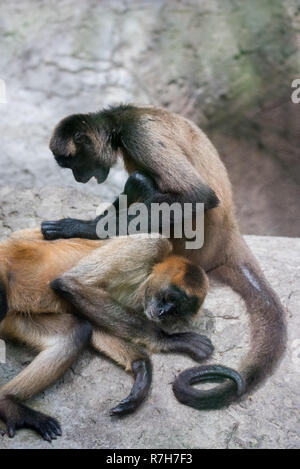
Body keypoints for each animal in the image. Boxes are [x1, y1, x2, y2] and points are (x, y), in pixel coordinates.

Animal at [0, 229, 243, 440]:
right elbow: (70, 283)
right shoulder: (151, 246)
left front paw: (141, 369)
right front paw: (169, 340)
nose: (162, 313)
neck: (141, 281)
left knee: (76, 332)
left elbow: (88, 319)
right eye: (168, 299)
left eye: (175, 310)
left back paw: (7, 402)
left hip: (15, 319)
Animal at [41, 105, 288, 410]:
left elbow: (198, 195)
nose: (78, 178)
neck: (122, 118)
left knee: (142, 180)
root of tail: (230, 233)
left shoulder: (140, 134)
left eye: (75, 163)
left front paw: (81, 226)